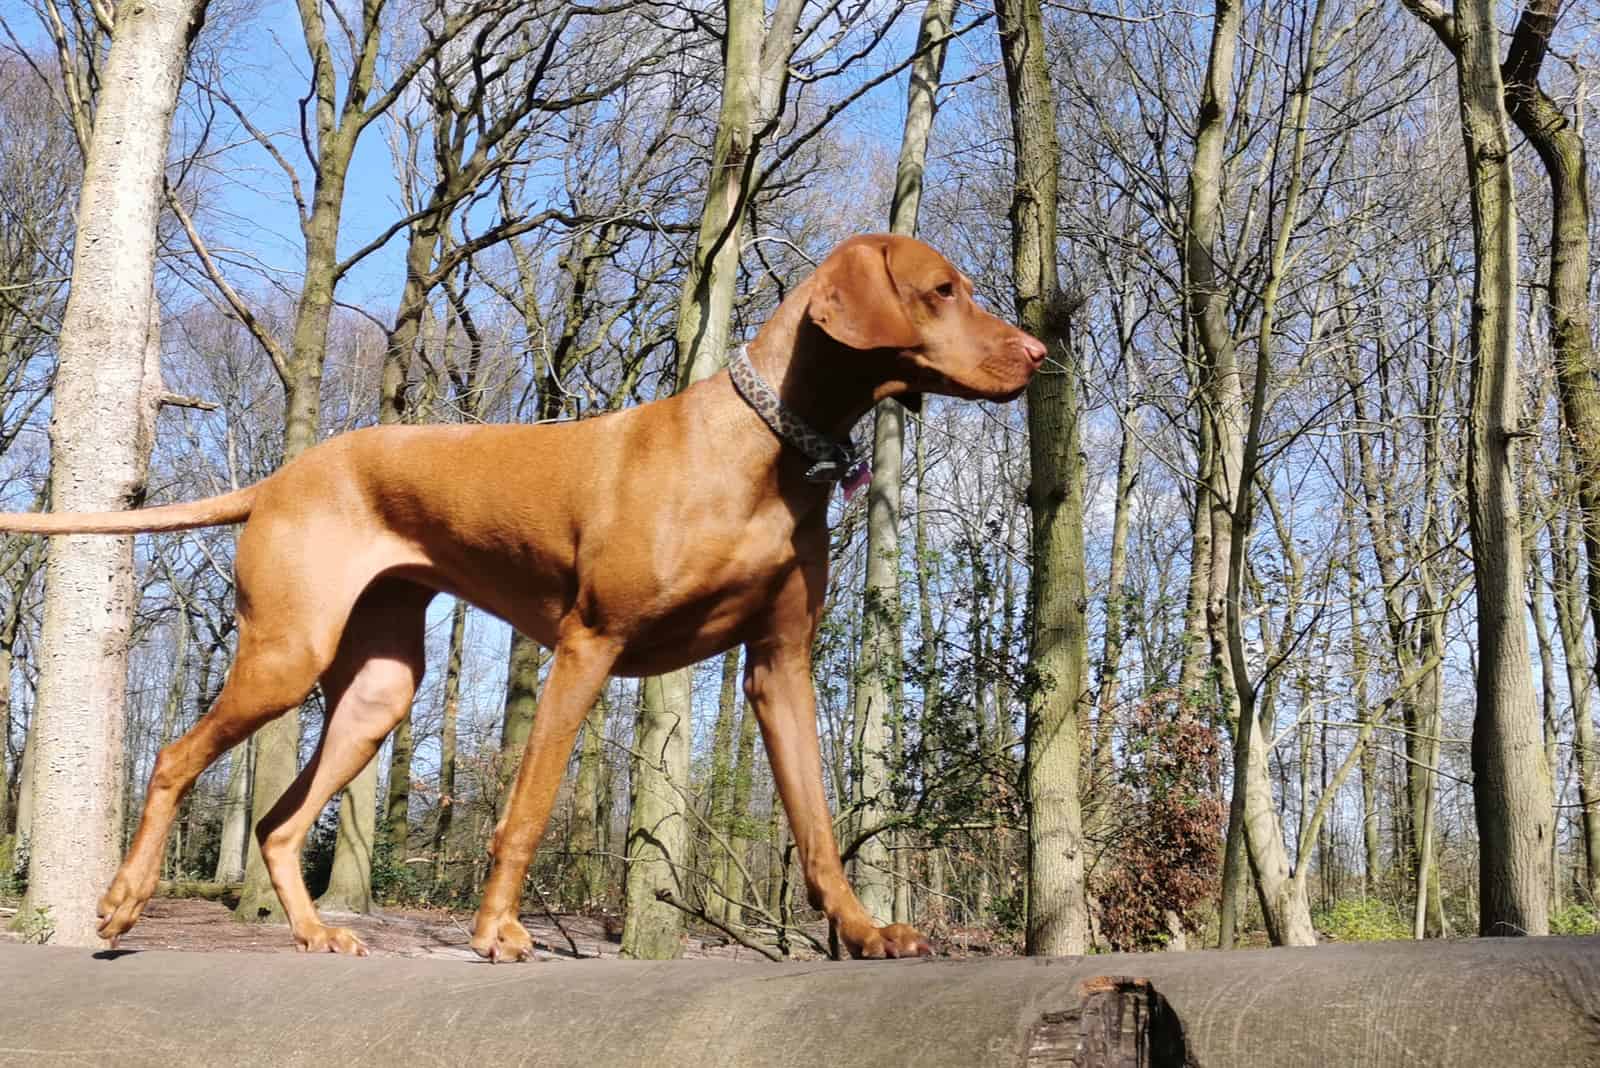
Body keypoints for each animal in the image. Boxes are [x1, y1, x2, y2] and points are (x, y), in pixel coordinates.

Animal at [0, 238, 1043, 965]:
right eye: (943, 289)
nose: (1039, 349)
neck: (766, 447)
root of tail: (283, 475)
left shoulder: (779, 668)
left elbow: (821, 830)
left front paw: (867, 932)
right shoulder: (588, 646)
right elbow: (529, 808)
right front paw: (496, 931)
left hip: (377, 693)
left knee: (277, 822)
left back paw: (314, 934)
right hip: (285, 656)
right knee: (174, 759)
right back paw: (123, 902)